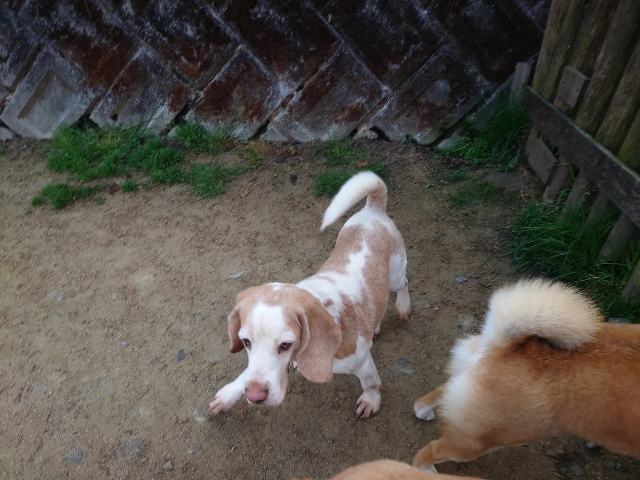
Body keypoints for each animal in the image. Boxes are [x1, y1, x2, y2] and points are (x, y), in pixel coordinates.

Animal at [208, 171, 411, 418]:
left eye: (285, 345)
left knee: (404, 284)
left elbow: (371, 383)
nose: (255, 397)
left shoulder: (362, 364)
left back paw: (403, 307)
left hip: (396, 274)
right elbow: (249, 371)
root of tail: (373, 208)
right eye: (245, 342)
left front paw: (371, 401)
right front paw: (229, 395)